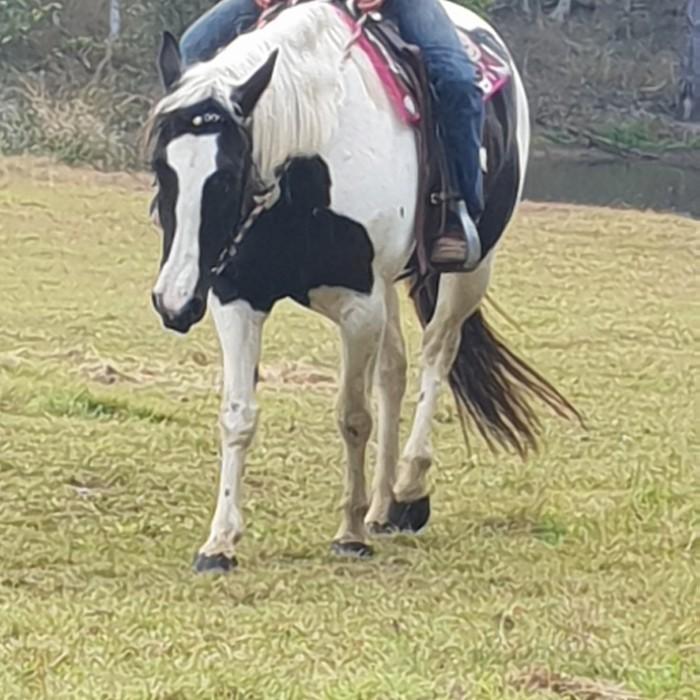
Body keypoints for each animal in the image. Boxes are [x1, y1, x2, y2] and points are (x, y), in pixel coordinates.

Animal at [146, 0, 575, 573]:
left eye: (229, 173)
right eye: (161, 167)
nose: (172, 301)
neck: (310, 160)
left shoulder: (358, 307)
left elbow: (352, 416)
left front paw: (348, 534)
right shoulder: (237, 297)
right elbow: (238, 416)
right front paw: (220, 542)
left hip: (469, 270)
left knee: (437, 355)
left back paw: (409, 490)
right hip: (389, 284)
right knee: (394, 370)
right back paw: (382, 506)